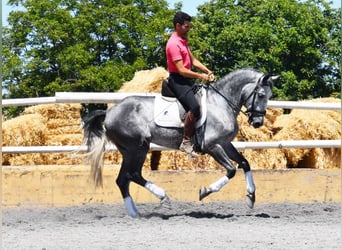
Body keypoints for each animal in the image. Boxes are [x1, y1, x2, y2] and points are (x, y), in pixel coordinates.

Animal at [82, 68, 278, 217]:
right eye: (261, 94)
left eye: (269, 95)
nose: (257, 122)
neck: (221, 104)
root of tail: (109, 112)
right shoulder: (212, 146)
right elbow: (231, 170)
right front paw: (205, 191)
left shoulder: (225, 144)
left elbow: (245, 163)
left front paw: (251, 196)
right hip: (137, 148)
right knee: (133, 175)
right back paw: (162, 197)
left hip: (129, 150)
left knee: (123, 179)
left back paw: (134, 213)